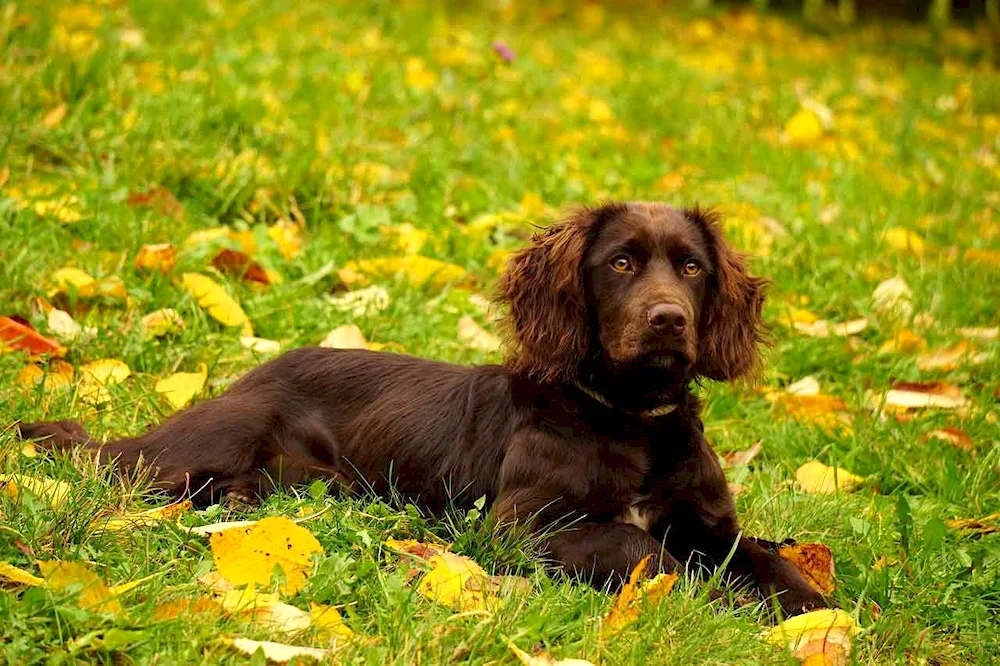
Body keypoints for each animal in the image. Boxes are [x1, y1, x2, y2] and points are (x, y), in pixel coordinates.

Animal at [17, 201, 828, 612]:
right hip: (213, 437)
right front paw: (709, 598)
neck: (629, 418)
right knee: (115, 470)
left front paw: (812, 615)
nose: (668, 320)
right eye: (621, 262)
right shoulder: (522, 529)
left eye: (692, 268)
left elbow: (766, 562)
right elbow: (645, 551)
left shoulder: (711, 524)